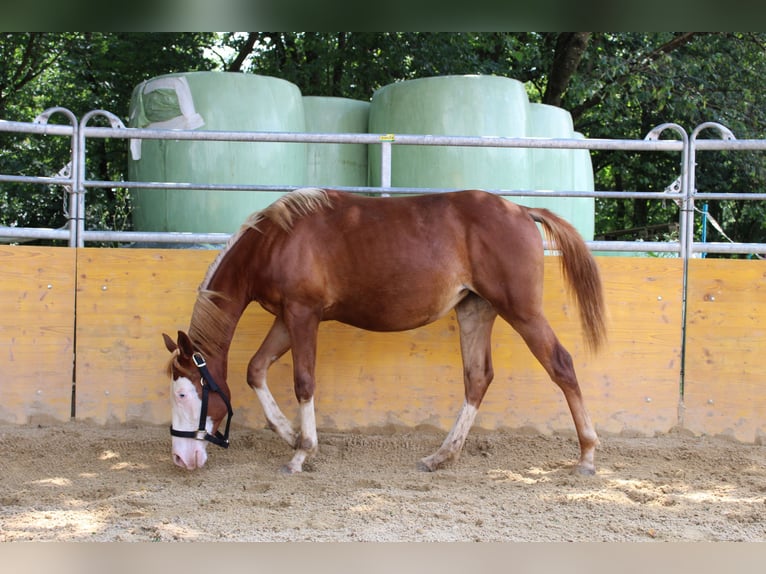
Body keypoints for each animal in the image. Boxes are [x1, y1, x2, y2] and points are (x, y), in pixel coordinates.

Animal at [164, 189, 608, 476]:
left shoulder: (303, 315)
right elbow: (255, 369)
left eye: (183, 394)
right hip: (475, 310)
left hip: (522, 311)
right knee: (478, 378)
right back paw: (441, 457)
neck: (277, 239)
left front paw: (302, 453)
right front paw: (291, 436)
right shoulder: (285, 318)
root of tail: (520, 209)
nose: (181, 459)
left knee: (561, 365)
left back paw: (587, 455)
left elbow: (303, 382)